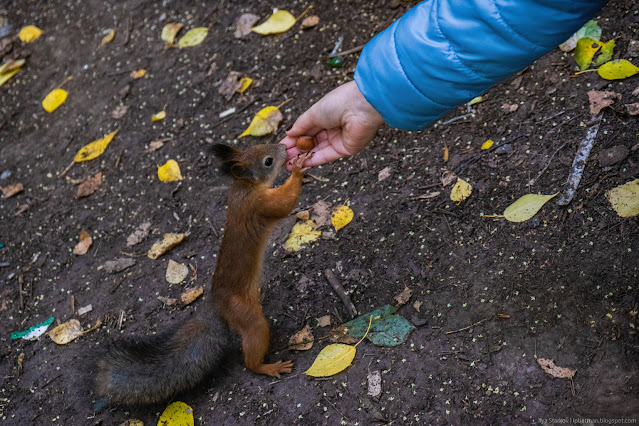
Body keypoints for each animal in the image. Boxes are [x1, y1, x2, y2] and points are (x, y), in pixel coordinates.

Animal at [94, 144, 312, 406]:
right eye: (268, 161)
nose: (283, 147)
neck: (243, 187)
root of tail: (215, 305)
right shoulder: (258, 205)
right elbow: (283, 203)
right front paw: (298, 170)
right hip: (245, 313)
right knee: (251, 354)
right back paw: (267, 367)